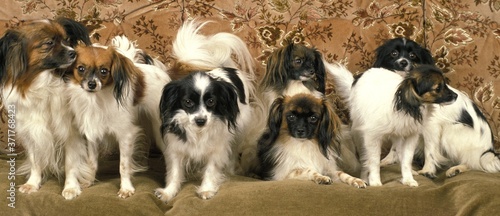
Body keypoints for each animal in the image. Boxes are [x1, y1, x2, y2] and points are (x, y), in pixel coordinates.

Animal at [0, 17, 91, 194]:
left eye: (67, 40)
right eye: (49, 43)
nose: (74, 52)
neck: (45, 83)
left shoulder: (71, 132)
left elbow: (71, 163)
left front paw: (71, 187)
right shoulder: (32, 130)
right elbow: (36, 161)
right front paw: (32, 183)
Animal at [62, 35, 172, 199]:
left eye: (104, 71)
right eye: (81, 69)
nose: (92, 84)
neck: (96, 100)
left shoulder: (126, 135)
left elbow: (123, 165)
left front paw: (126, 188)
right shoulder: (93, 136)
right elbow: (92, 161)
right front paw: (89, 181)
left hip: (159, 129)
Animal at [154, 19, 260, 202]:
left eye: (211, 102)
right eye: (188, 102)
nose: (200, 120)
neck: (198, 131)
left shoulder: (217, 148)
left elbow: (212, 169)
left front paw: (207, 189)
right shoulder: (176, 149)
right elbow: (174, 172)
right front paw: (169, 192)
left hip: (238, 131)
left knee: (233, 151)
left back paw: (231, 169)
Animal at [326, 63, 458, 186]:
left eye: (445, 84)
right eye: (438, 88)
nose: (456, 95)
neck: (405, 106)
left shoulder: (410, 137)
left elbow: (407, 159)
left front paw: (408, 179)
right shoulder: (372, 137)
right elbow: (373, 161)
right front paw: (374, 181)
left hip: (398, 136)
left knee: (399, 153)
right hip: (359, 134)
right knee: (364, 158)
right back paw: (364, 176)